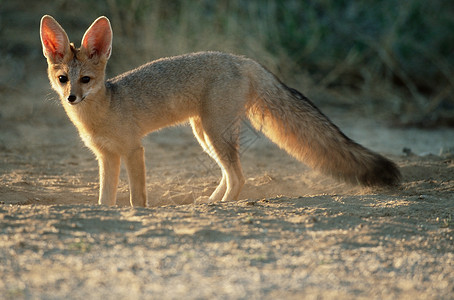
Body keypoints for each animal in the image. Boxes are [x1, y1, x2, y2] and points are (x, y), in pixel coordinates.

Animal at [40, 15, 400, 207]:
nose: (72, 98)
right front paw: (105, 209)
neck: (102, 112)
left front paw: (137, 211)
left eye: (86, 80)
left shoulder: (133, 150)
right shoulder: (107, 157)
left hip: (214, 133)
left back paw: (225, 204)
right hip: (205, 134)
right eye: (63, 79)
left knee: (239, 177)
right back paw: (212, 201)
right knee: (231, 175)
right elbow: (106, 196)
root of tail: (241, 59)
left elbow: (137, 196)